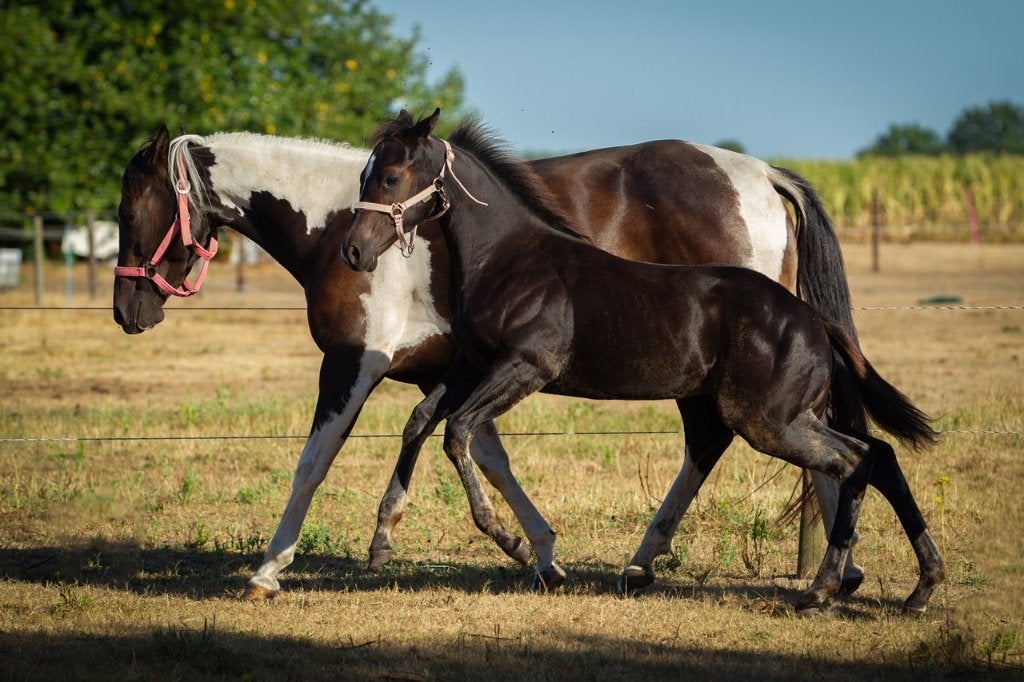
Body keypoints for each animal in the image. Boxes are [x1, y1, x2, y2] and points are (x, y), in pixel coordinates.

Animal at [114, 123, 864, 601]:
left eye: (129, 210)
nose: (128, 310)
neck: (335, 228)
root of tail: (763, 174)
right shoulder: (459, 370)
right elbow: (478, 450)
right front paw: (537, 553)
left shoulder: (355, 365)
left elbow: (316, 461)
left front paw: (269, 569)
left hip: (720, 385)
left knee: (752, 447)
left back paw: (823, 572)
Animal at [340, 109, 945, 615]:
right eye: (365, 173)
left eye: (389, 177)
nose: (354, 251)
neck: (510, 258)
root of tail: (814, 319)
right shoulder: (471, 365)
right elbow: (420, 422)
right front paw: (381, 540)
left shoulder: (525, 367)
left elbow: (459, 432)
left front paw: (512, 543)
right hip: (787, 414)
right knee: (878, 455)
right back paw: (919, 588)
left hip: (767, 419)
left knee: (850, 460)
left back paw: (823, 587)